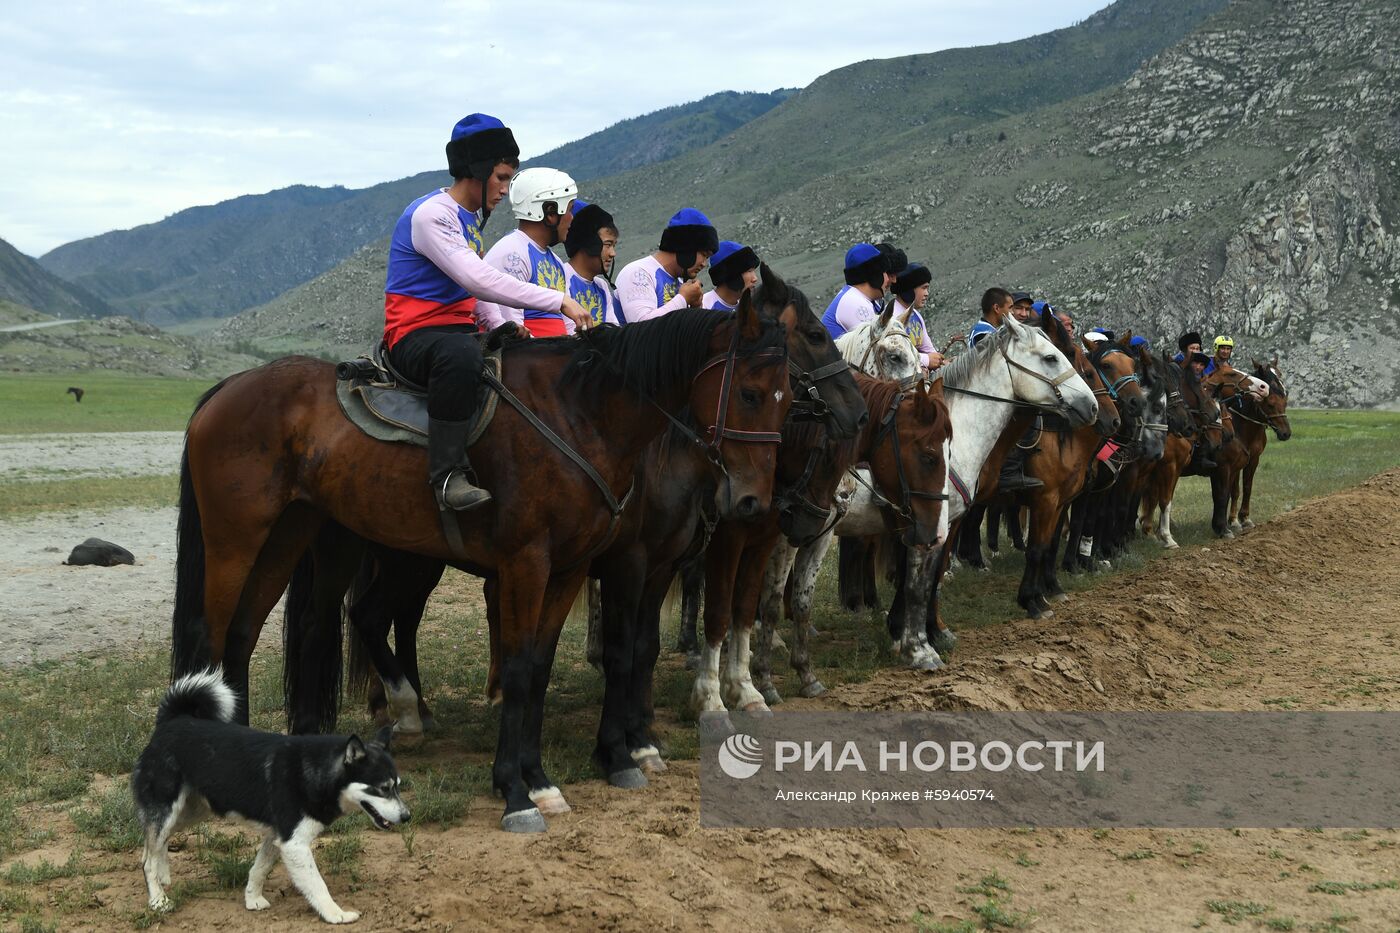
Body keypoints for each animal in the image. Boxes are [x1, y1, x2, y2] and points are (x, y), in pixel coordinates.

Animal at [132, 669, 408, 924]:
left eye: (397, 786)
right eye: (383, 788)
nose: (407, 816)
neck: (315, 770)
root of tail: (171, 722)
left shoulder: (278, 836)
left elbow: (259, 869)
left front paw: (252, 899)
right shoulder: (294, 844)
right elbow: (317, 884)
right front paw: (336, 914)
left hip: (192, 812)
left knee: (153, 846)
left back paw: (163, 875)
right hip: (167, 809)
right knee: (148, 858)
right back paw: (157, 899)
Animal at [165, 298, 795, 829]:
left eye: (787, 398)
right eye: (750, 393)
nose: (752, 501)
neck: (577, 416)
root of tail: (230, 387)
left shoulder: (570, 569)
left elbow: (540, 668)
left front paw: (542, 780)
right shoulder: (539, 563)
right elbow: (526, 668)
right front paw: (518, 791)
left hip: (292, 535)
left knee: (248, 633)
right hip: (240, 538)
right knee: (213, 632)